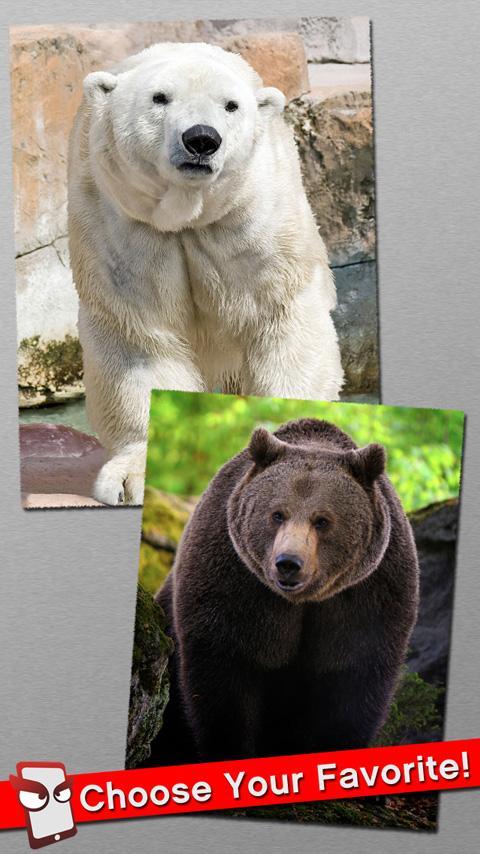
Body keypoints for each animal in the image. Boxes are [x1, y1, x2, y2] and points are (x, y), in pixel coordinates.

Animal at [67, 42, 344, 506]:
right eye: (160, 98)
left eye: (231, 105)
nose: (201, 138)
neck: (188, 218)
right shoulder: (123, 226)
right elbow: (141, 343)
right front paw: (132, 476)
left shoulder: (256, 222)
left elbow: (283, 321)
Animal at [146, 418, 419, 766]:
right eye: (277, 514)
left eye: (322, 520)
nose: (288, 563)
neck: (303, 601)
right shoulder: (234, 580)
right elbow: (224, 675)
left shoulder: (368, 592)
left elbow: (354, 678)